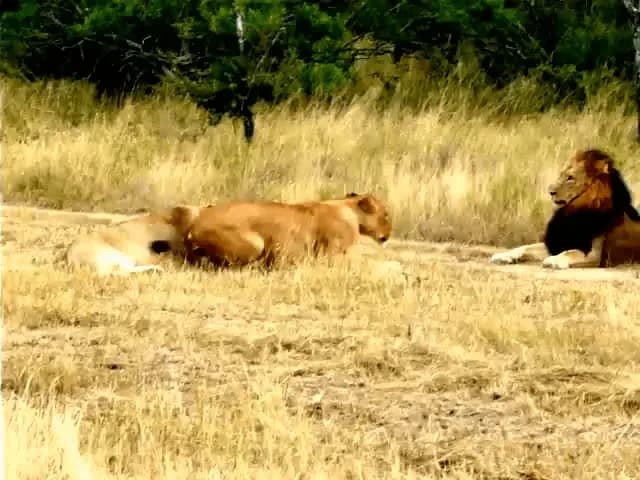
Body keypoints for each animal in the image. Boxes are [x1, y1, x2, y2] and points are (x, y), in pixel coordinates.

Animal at [490, 148, 640, 269]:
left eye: (570, 178)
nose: (550, 191)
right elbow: (525, 247)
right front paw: (503, 256)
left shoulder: (595, 255)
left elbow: (570, 252)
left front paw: (552, 260)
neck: (573, 210)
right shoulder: (557, 243)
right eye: (561, 175)